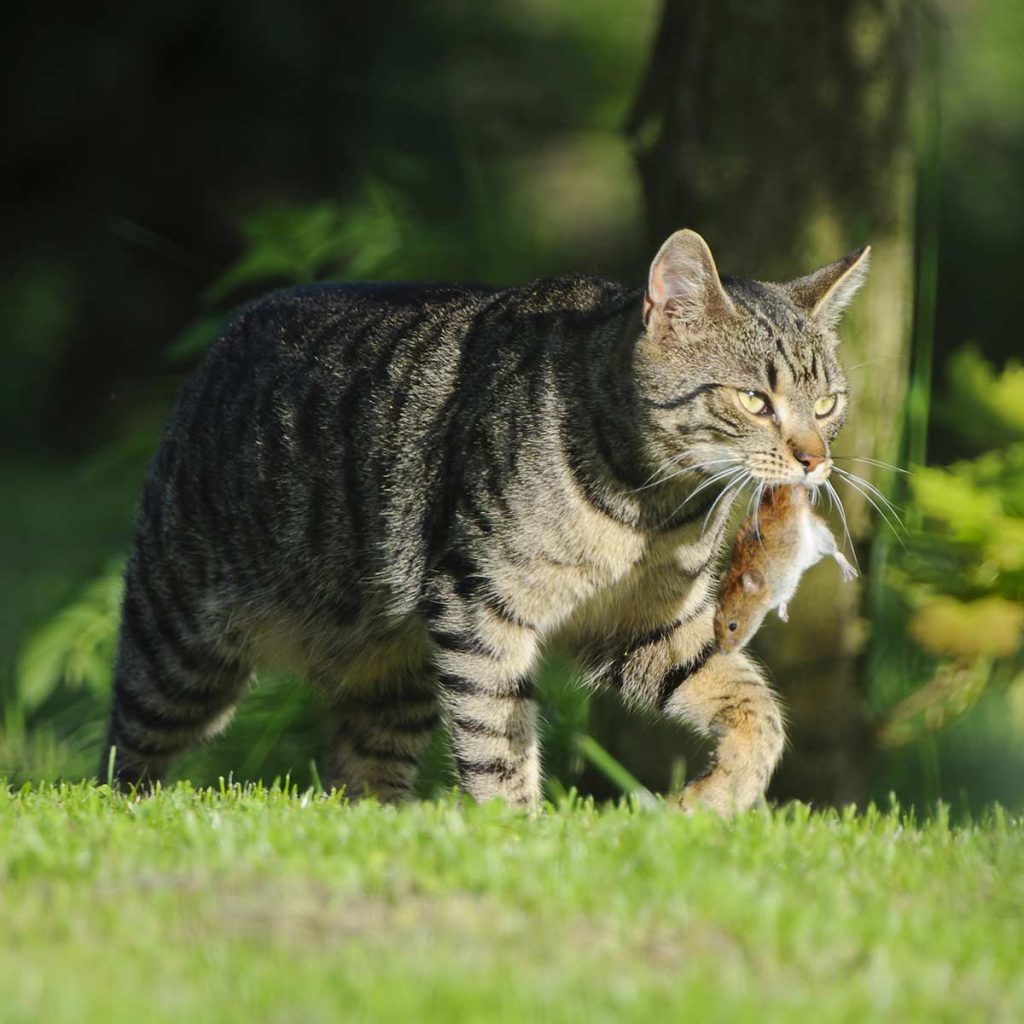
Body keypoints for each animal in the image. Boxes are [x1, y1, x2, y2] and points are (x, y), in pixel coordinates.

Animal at [96, 228, 868, 811]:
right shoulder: (479, 607)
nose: (815, 460)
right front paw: (514, 836)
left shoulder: (642, 625)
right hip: (179, 650)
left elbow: (756, 706)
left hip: (391, 676)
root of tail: (228, 334)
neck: (649, 508)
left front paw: (717, 798)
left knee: (360, 775)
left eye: (828, 404)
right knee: (124, 753)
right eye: (754, 400)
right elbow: (497, 742)